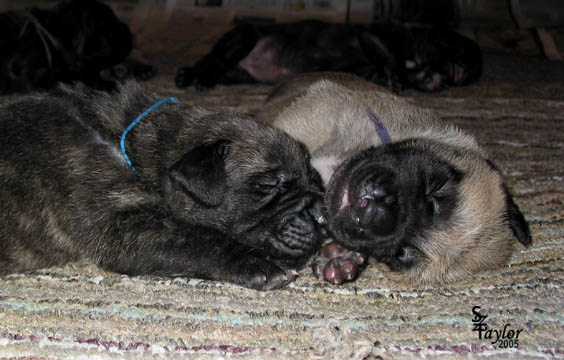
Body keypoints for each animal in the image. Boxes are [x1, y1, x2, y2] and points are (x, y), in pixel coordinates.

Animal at [0, 0, 154, 94]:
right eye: (111, 31)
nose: (126, 28)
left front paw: (140, 68)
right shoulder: (38, 76)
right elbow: (83, 76)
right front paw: (111, 83)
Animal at [0, 83, 324, 292]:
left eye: (314, 176)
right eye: (268, 185)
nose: (321, 212)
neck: (131, 147)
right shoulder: (123, 226)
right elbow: (198, 237)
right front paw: (258, 264)